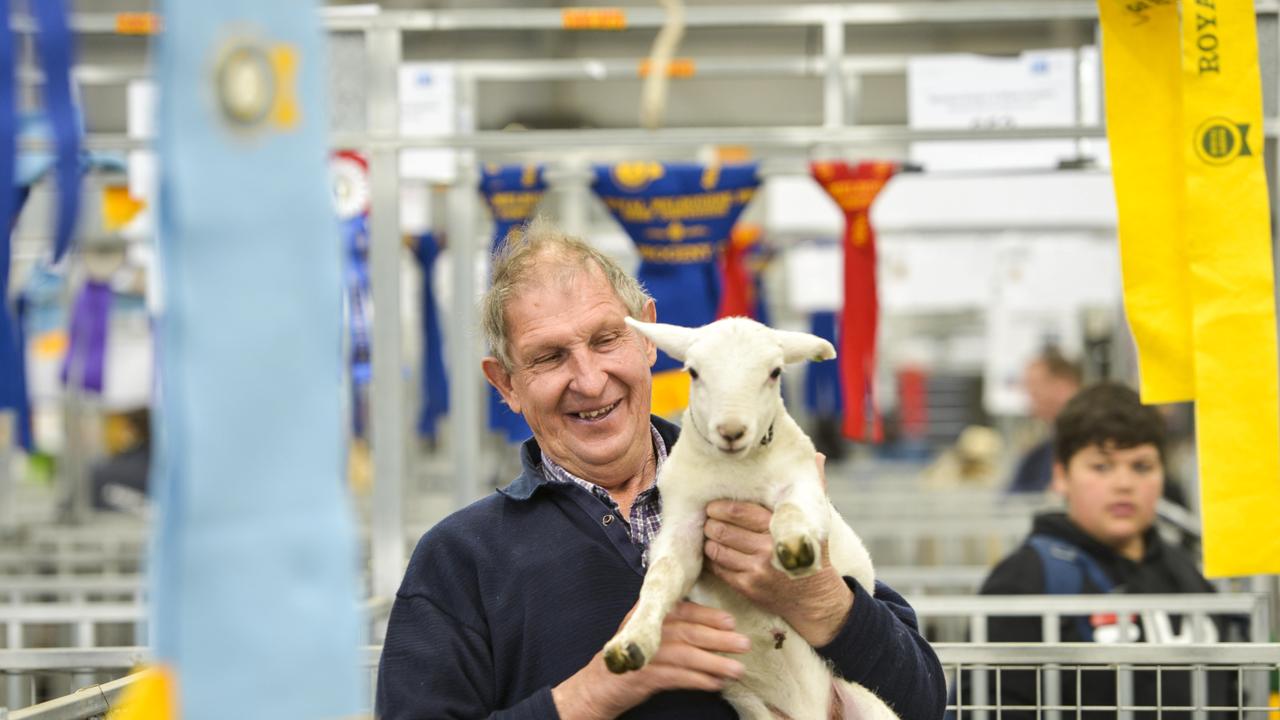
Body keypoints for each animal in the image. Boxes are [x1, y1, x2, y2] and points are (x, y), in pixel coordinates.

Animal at [601, 317, 896, 717]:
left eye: (774, 373)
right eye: (694, 372)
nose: (731, 431)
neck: (736, 473)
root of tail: (810, 712)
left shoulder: (806, 485)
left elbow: (790, 510)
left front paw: (795, 548)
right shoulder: (683, 522)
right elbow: (662, 577)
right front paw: (631, 643)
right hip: (754, 708)